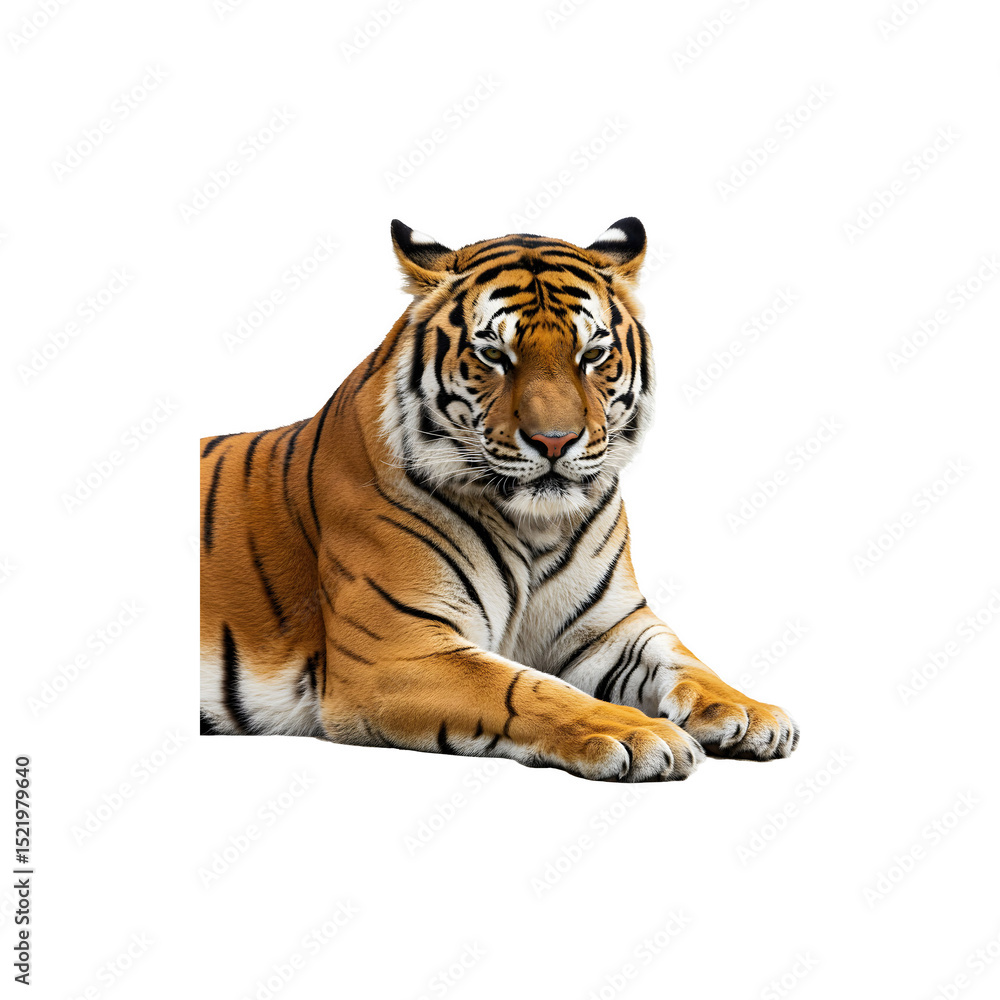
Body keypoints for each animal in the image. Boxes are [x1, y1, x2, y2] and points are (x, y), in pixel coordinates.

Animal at [200, 217, 799, 782]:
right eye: (494, 354)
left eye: (593, 353)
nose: (555, 440)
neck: (535, 525)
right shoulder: (398, 647)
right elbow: (526, 688)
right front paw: (639, 733)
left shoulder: (610, 627)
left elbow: (686, 662)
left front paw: (751, 713)